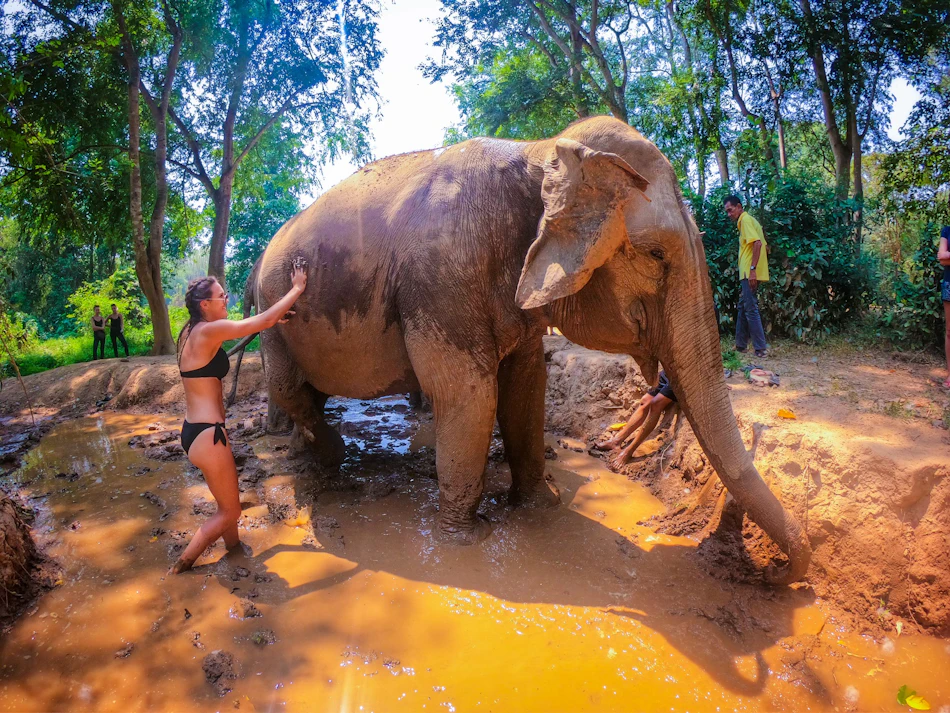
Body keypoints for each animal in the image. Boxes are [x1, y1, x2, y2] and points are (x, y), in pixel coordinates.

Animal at [249, 115, 811, 584]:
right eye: (655, 255)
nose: (777, 574)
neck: (540, 150)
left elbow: (526, 386)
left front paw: (541, 505)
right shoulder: (440, 278)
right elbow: (470, 394)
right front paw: (463, 540)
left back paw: (313, 456)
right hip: (273, 308)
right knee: (287, 385)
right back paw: (330, 455)